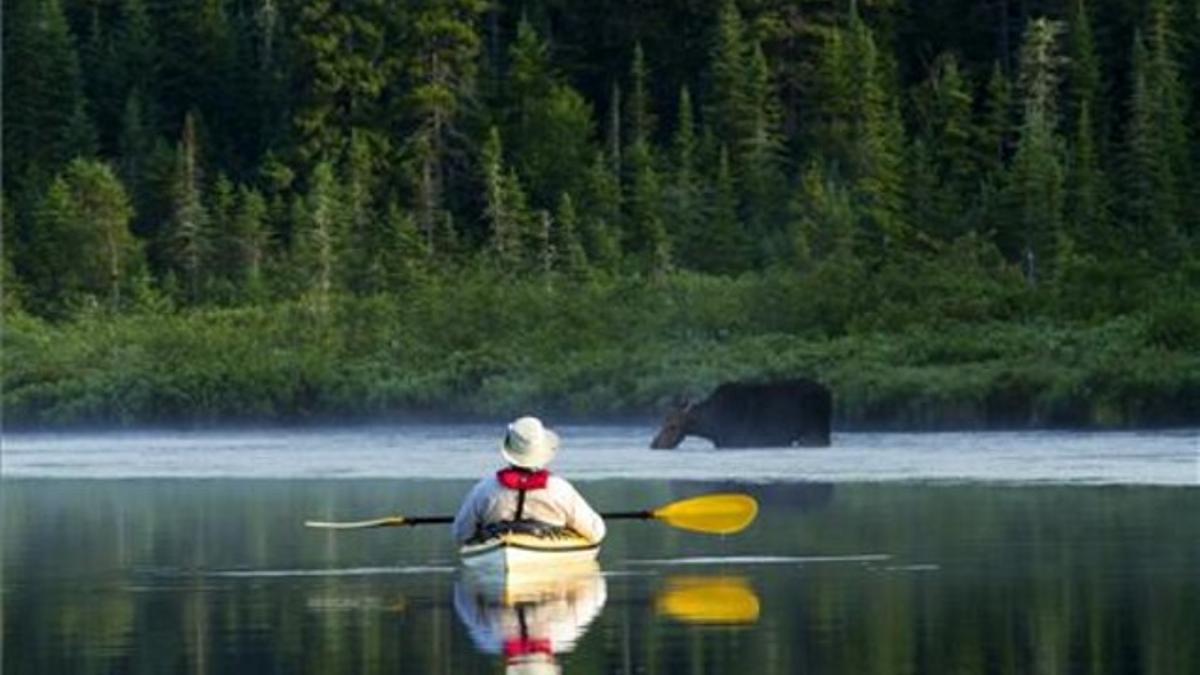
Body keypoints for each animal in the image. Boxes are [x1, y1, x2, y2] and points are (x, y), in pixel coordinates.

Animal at [648, 379, 835, 446]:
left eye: (673, 426)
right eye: (663, 422)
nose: (654, 444)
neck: (711, 427)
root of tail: (829, 393)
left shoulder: (737, 440)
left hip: (815, 432)